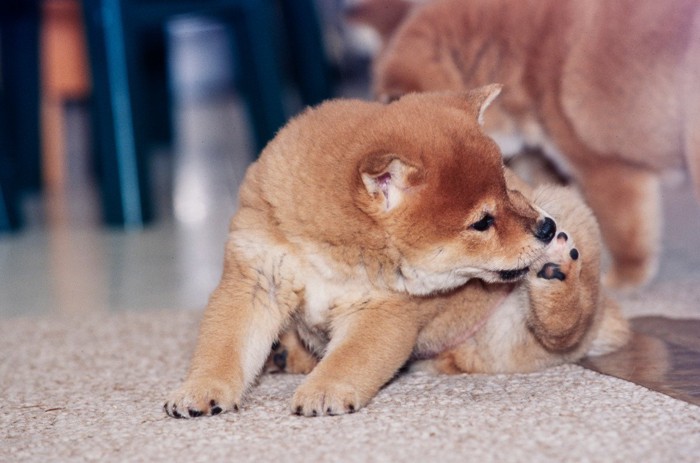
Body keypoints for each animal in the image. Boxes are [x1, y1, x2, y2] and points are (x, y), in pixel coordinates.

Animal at [163, 85, 556, 418]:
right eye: (482, 222)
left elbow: (349, 358)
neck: (325, 254)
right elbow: (223, 346)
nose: (548, 227)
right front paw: (201, 389)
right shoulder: (256, 282)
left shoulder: (381, 310)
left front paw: (324, 390)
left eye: (507, 188)